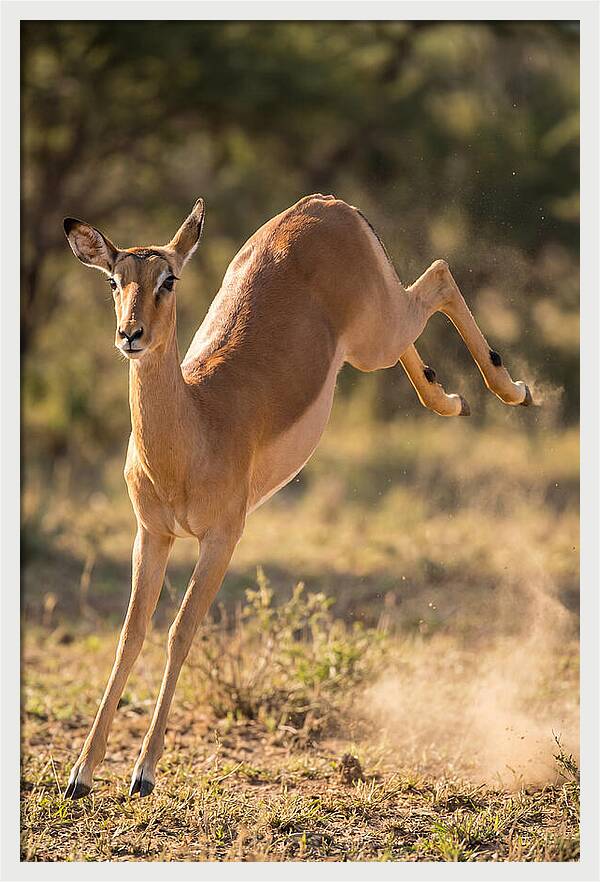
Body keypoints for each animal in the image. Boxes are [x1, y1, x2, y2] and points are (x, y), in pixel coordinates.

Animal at [62, 194, 532, 799]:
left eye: (168, 279)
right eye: (114, 280)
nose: (130, 335)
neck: (194, 426)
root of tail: (326, 204)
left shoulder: (222, 538)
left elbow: (180, 632)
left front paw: (143, 772)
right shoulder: (153, 533)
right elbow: (129, 636)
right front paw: (80, 773)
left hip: (376, 333)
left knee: (440, 275)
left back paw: (513, 390)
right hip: (372, 340)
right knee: (424, 310)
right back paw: (452, 399)